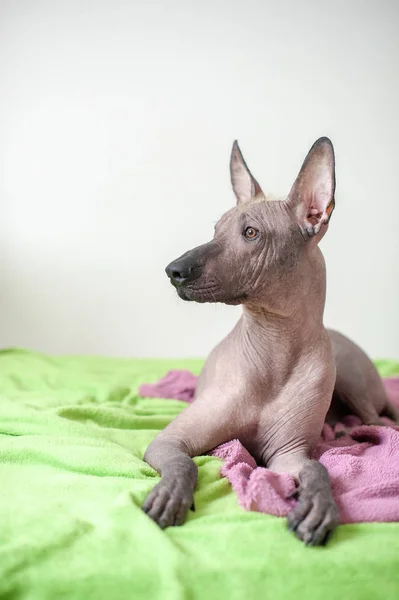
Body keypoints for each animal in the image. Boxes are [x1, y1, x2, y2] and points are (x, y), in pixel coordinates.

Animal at [143, 138, 396, 548]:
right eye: (216, 230)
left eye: (250, 233)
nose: (173, 271)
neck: (273, 343)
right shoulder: (170, 441)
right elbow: (183, 463)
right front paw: (170, 496)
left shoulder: (288, 455)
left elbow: (318, 469)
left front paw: (317, 507)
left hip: (349, 376)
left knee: (379, 423)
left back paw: (346, 431)